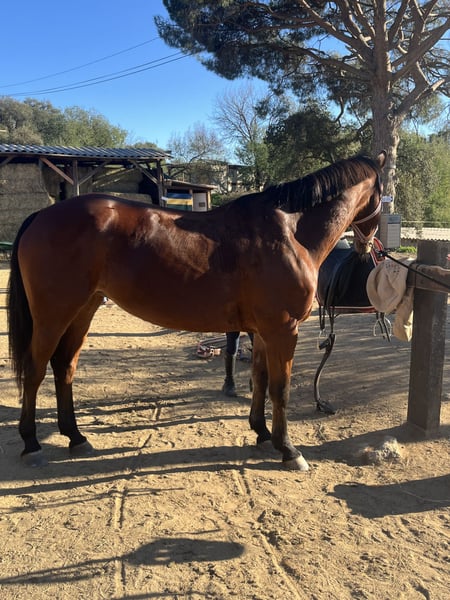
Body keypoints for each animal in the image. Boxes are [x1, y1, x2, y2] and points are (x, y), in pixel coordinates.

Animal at [7, 152, 386, 470]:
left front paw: (262, 433)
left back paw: (75, 437)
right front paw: (289, 450)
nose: (367, 247)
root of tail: (42, 214)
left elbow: (260, 379)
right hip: (53, 314)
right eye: (384, 193)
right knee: (36, 368)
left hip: (82, 311)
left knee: (64, 367)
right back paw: (31, 444)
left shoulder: (262, 331)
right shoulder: (283, 329)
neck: (289, 232)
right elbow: (281, 388)